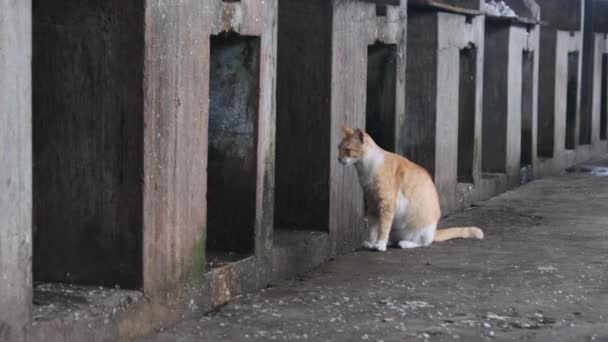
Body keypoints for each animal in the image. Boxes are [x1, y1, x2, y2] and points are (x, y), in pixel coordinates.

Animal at [338, 125, 484, 251]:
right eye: (338, 148)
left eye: (347, 150)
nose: (338, 158)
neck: (366, 168)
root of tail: (434, 231)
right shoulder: (372, 205)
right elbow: (373, 228)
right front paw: (372, 242)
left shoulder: (387, 205)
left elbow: (383, 227)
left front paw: (380, 244)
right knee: (396, 239)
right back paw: (390, 242)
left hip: (423, 230)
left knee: (424, 243)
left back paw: (405, 243)